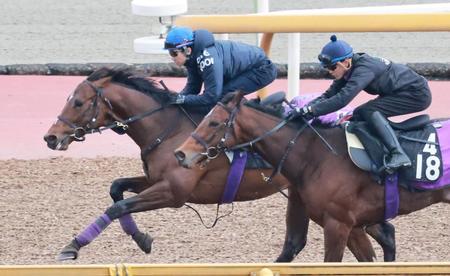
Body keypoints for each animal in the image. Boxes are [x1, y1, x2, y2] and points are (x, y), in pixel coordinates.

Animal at [43, 68, 394, 262]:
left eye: (77, 102)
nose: (50, 137)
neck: (166, 128)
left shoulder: (174, 192)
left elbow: (118, 206)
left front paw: (72, 247)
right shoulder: (157, 180)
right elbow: (117, 189)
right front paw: (142, 239)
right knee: (381, 231)